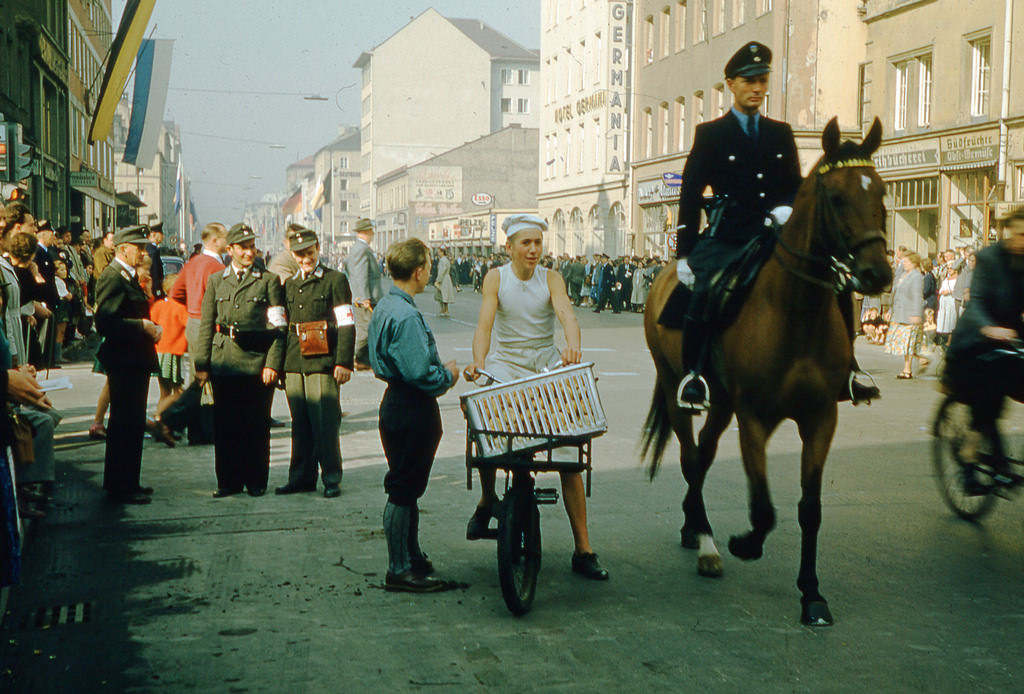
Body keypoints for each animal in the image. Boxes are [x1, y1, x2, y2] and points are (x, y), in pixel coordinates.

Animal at [643, 116, 892, 626]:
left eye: (880, 193)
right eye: (837, 197)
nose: (877, 275)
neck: (794, 311)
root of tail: (662, 274)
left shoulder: (820, 418)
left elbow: (809, 509)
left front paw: (812, 594)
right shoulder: (754, 417)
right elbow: (763, 508)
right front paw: (744, 543)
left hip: (720, 403)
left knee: (704, 455)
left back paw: (693, 527)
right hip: (678, 387)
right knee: (690, 456)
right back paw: (706, 542)